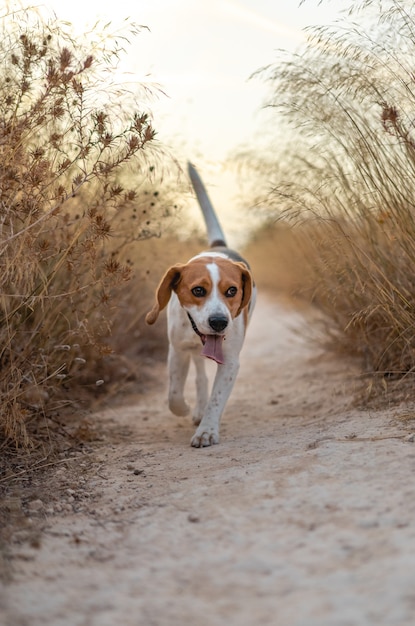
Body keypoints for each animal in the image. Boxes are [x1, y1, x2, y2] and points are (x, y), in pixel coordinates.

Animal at [146, 161, 256, 444]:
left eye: (232, 290)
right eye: (198, 290)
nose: (219, 322)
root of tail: (218, 246)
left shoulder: (230, 361)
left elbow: (217, 400)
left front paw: (207, 429)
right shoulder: (177, 350)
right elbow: (174, 394)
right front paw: (184, 409)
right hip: (192, 350)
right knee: (200, 377)